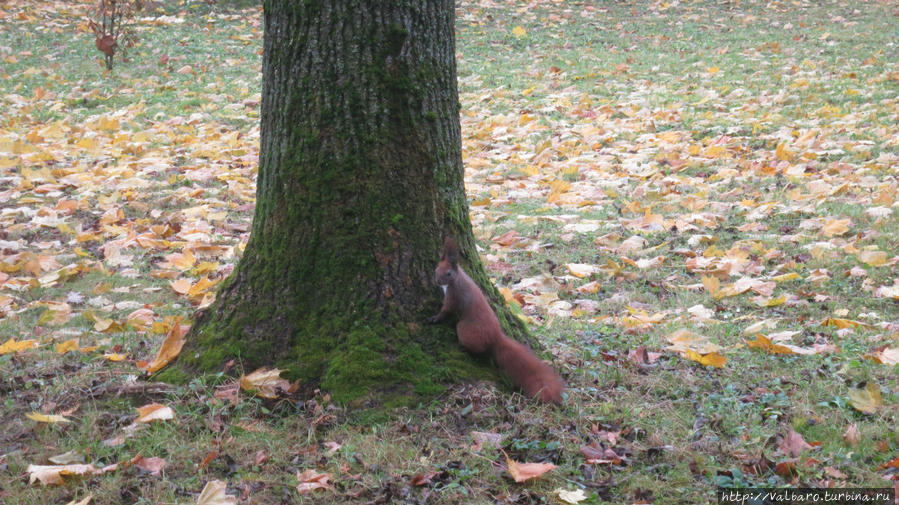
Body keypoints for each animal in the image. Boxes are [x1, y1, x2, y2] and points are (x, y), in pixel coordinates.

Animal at [428, 238, 564, 404]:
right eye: (436, 268)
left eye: (448, 273)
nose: (437, 281)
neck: (457, 278)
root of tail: (495, 337)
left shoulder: (454, 296)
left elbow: (446, 310)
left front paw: (435, 318)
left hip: (465, 329)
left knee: (479, 349)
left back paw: (467, 350)